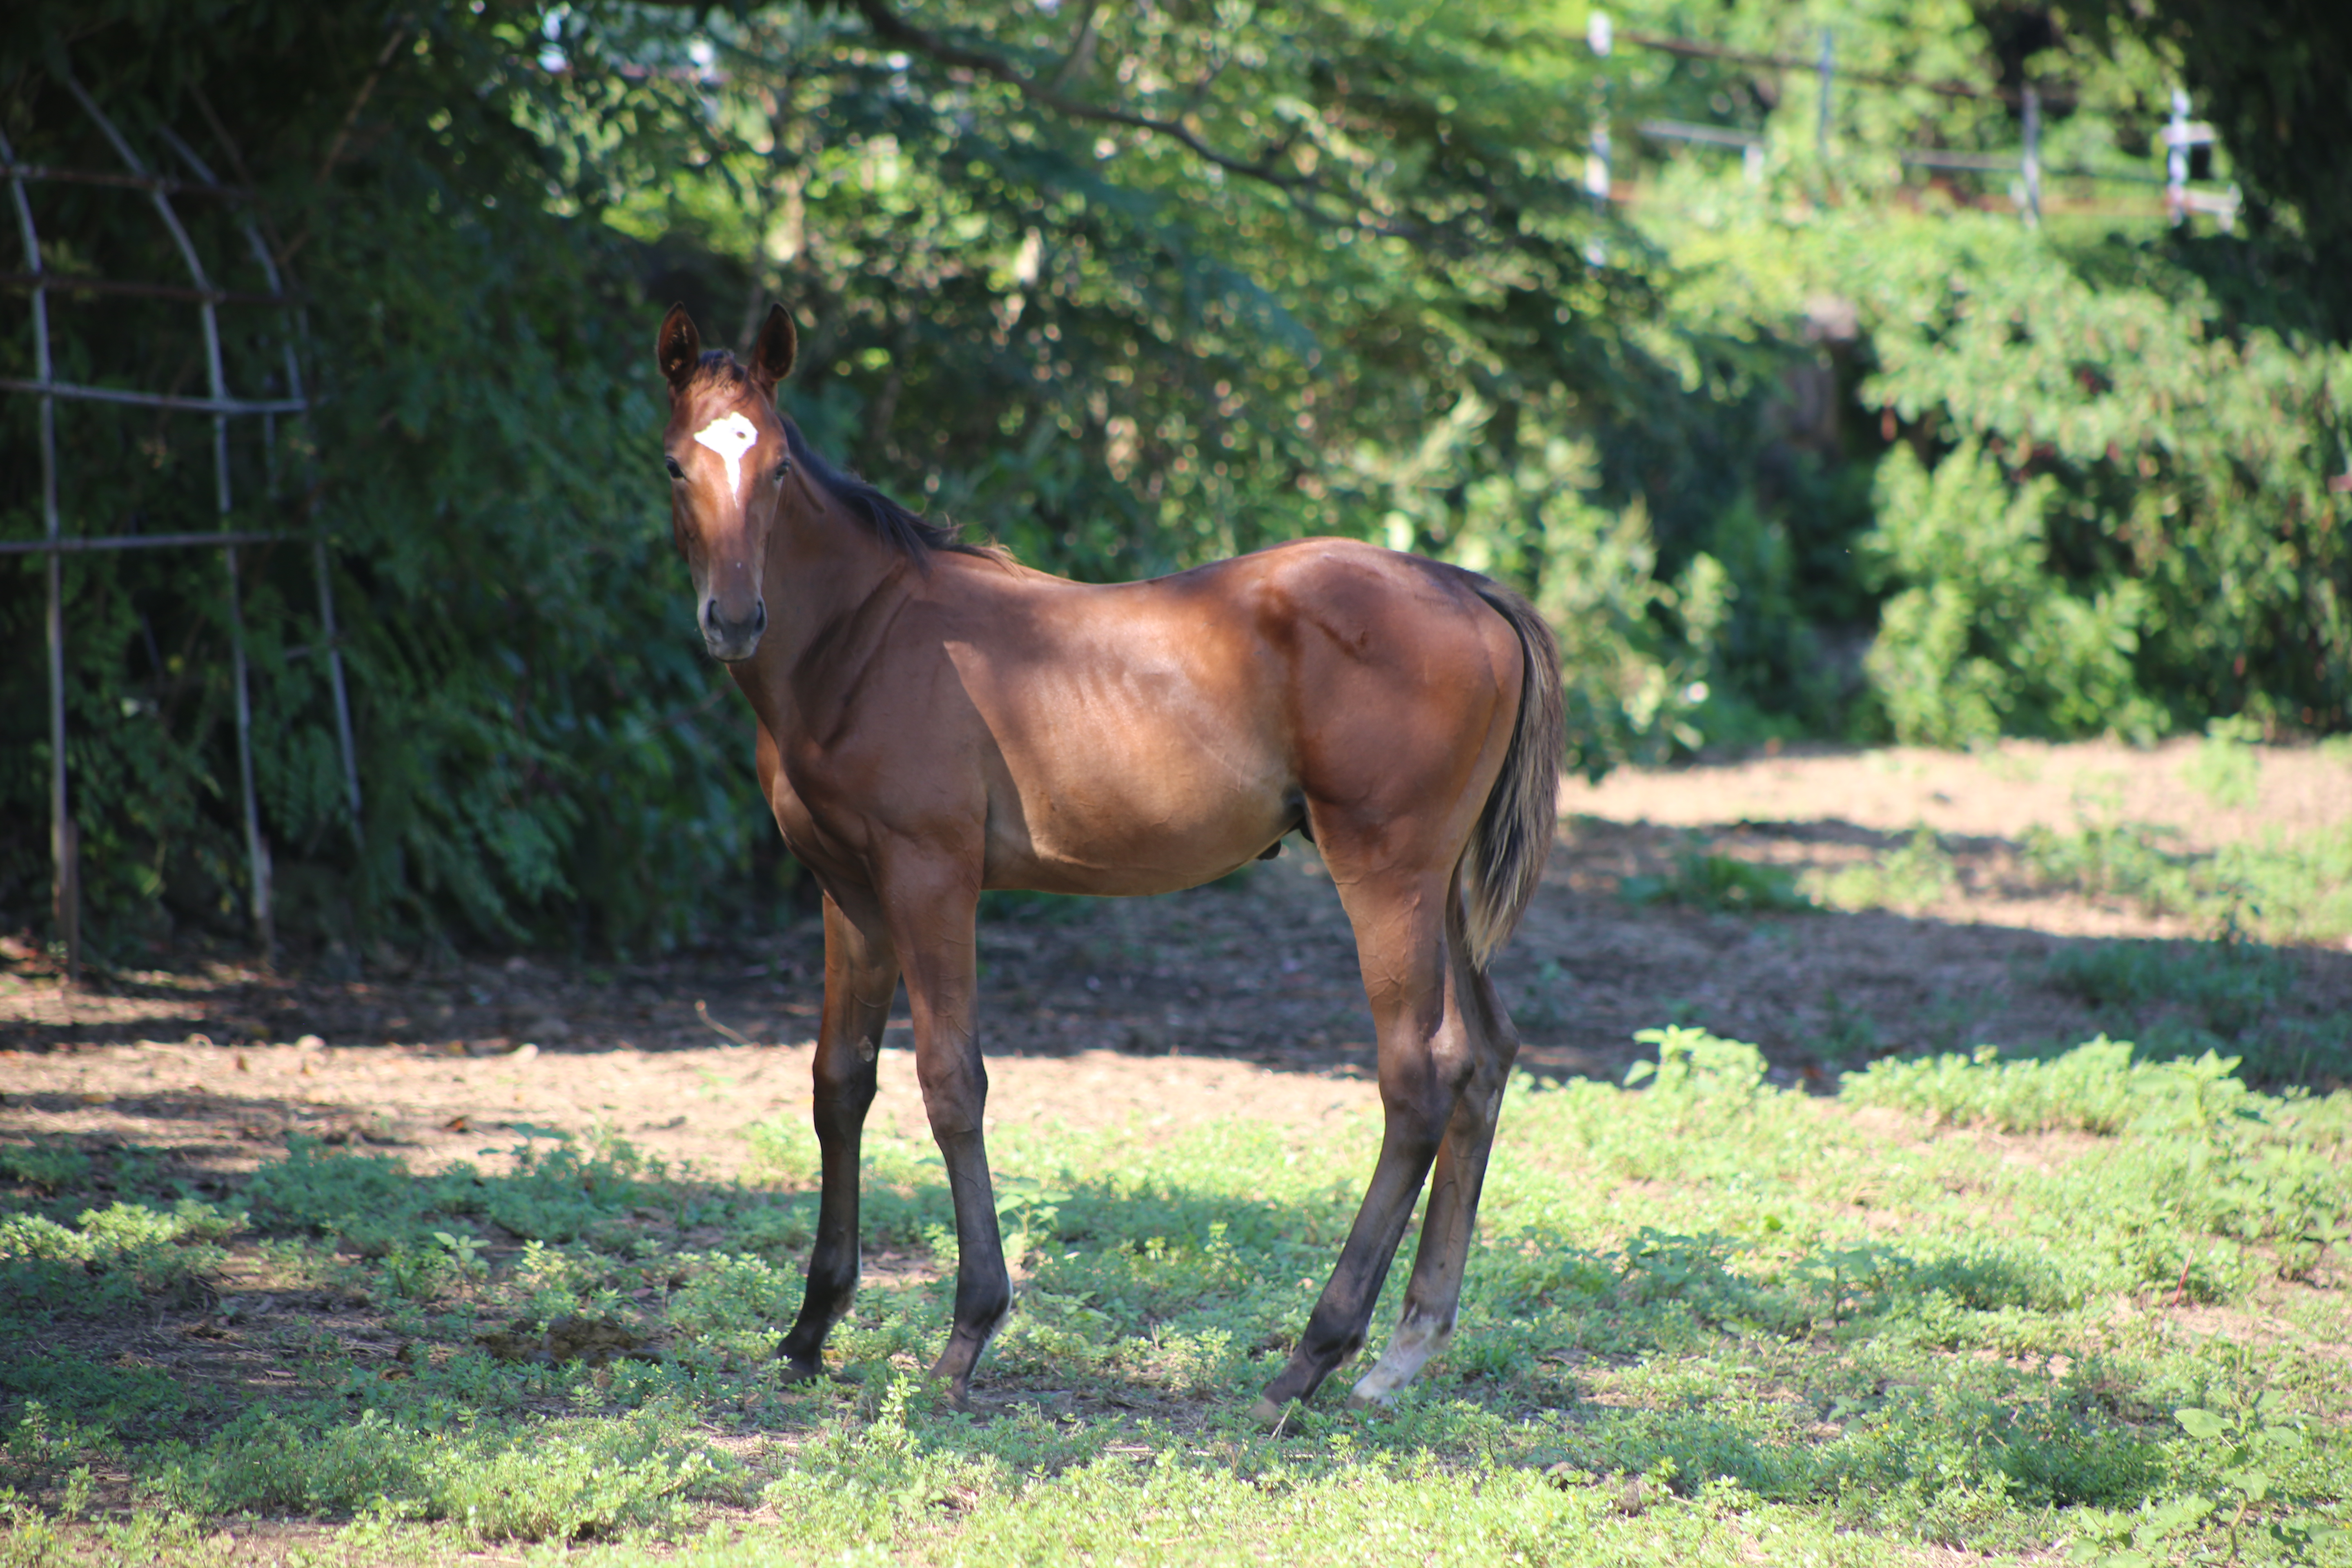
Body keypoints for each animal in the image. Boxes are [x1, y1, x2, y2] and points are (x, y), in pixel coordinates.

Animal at [658, 303, 1561, 1420]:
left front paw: (966, 1335)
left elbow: (950, 1080)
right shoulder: (848, 891)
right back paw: (1402, 1353)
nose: (735, 620)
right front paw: (808, 1330)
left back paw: (1310, 1357)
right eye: (674, 464)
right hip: (1443, 895)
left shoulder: (930, 877)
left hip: (1384, 878)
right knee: (1485, 1058)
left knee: (1419, 1077)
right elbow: (840, 1081)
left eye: (779, 467)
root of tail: (1468, 588)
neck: (861, 642)